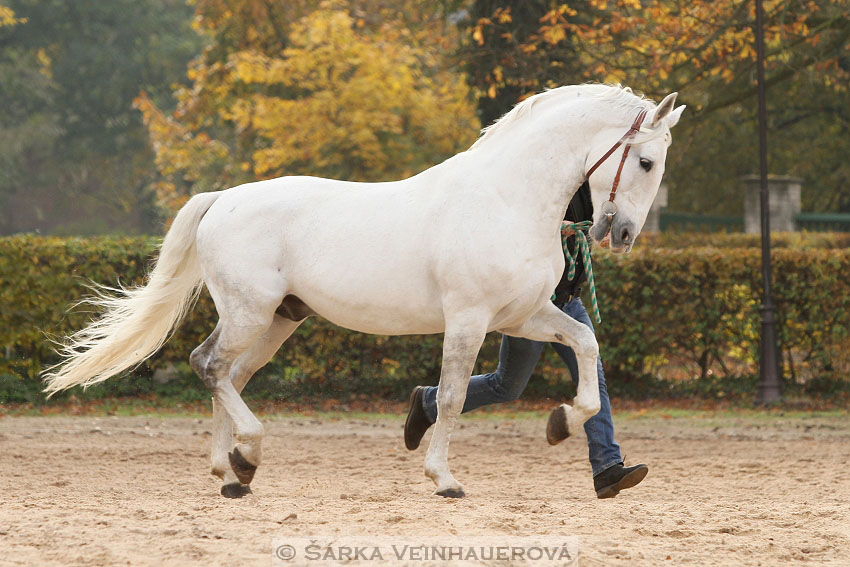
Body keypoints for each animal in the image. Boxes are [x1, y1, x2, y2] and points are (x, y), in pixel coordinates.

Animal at [44, 83, 684, 496]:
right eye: (646, 162)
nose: (622, 234)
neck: (506, 199)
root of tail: (223, 199)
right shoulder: (470, 318)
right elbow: (453, 396)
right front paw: (444, 480)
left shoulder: (522, 315)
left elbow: (585, 345)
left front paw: (562, 424)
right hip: (250, 313)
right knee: (210, 366)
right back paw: (246, 454)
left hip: (277, 320)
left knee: (230, 375)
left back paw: (232, 473)